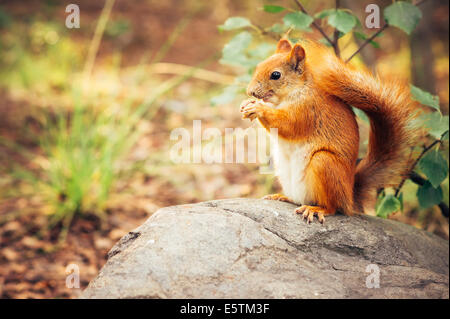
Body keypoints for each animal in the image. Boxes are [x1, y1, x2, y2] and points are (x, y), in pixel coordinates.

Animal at [241, 38, 420, 224]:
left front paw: (259, 108)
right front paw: (247, 104)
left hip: (324, 163)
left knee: (333, 207)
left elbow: (288, 124)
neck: (296, 90)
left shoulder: (309, 110)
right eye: (258, 66)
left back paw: (316, 209)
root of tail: (349, 197)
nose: (250, 91)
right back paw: (282, 197)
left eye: (276, 75)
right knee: (299, 199)